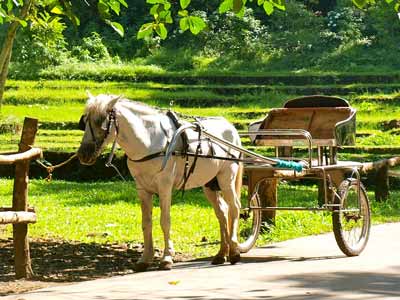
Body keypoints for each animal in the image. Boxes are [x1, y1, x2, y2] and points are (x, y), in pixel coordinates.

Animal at [76, 94, 242, 272]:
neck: (149, 141)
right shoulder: (142, 189)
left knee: (234, 207)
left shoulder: (165, 186)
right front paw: (145, 259)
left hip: (226, 178)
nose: (83, 154)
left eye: (102, 122)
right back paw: (222, 253)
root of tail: (230, 127)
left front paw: (167, 257)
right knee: (222, 212)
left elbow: (165, 220)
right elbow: (146, 222)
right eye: (84, 121)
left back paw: (234, 251)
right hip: (209, 184)